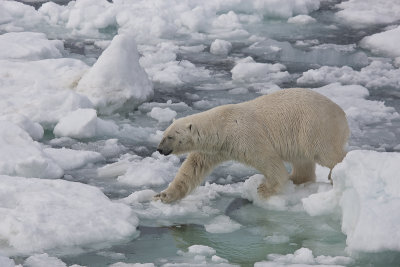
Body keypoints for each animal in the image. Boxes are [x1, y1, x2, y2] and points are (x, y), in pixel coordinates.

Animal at [155, 89, 348, 204]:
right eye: (163, 135)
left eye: (170, 137)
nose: (159, 149)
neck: (222, 126)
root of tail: (342, 114)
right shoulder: (214, 149)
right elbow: (193, 168)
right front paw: (163, 195)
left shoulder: (245, 135)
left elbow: (267, 159)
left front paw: (264, 189)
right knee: (302, 160)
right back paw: (296, 179)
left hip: (314, 126)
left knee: (326, 153)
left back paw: (335, 174)